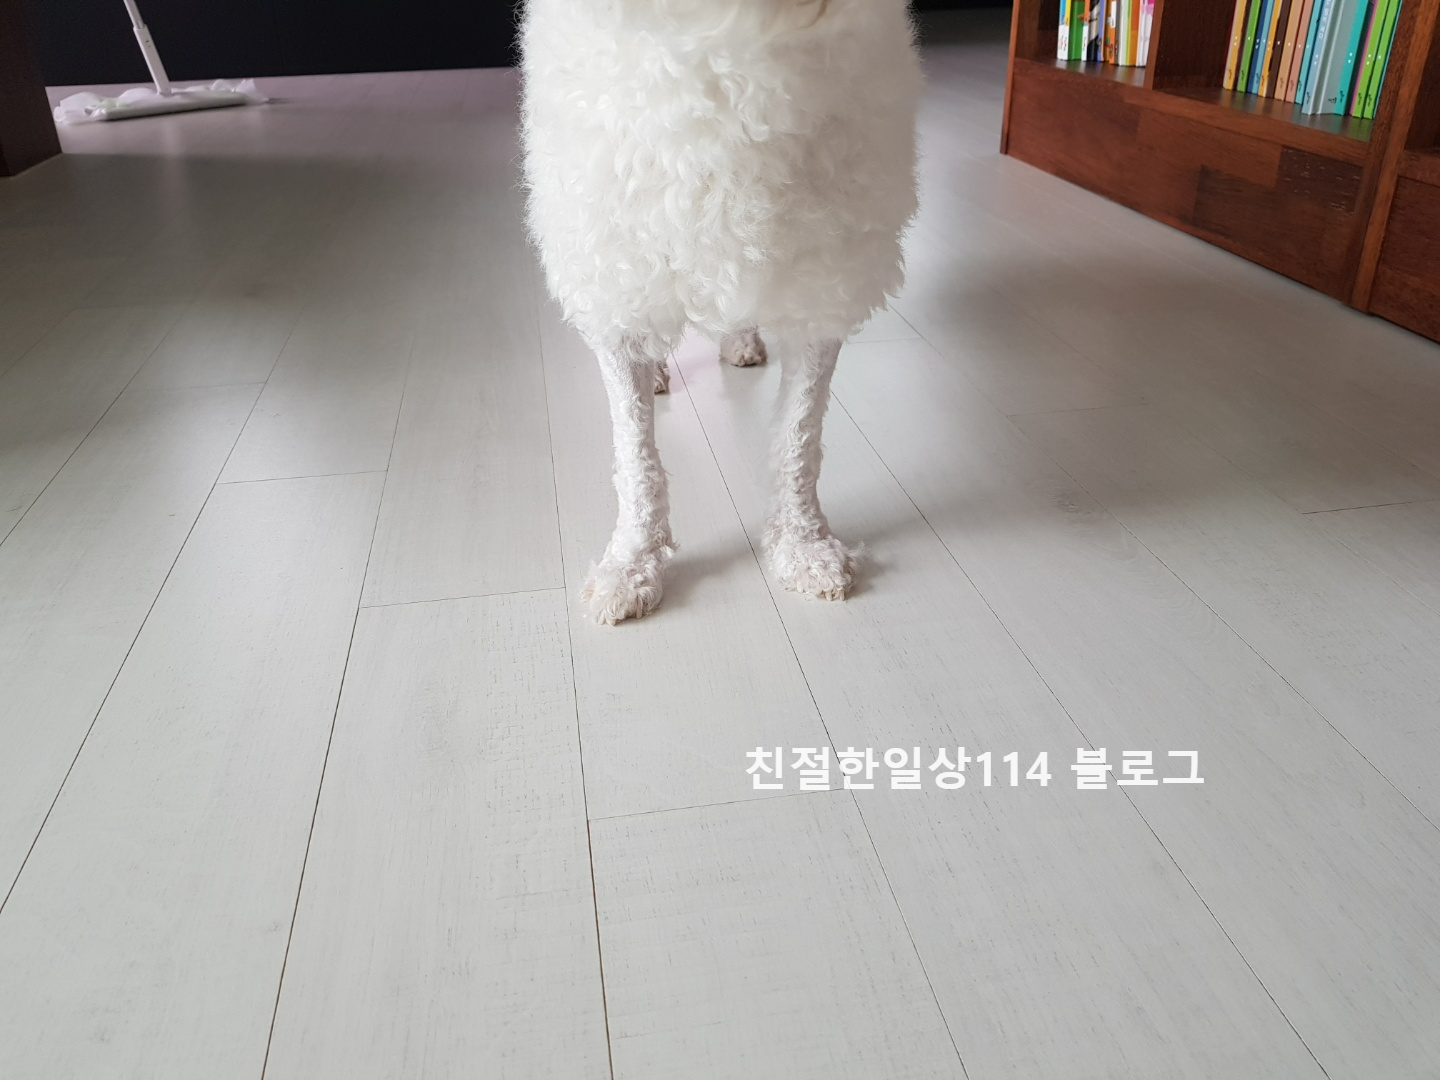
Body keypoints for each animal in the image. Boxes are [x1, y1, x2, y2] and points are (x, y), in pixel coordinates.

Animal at [520, 0, 921, 623]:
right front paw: (631, 563)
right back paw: (662, 371)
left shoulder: (822, 279)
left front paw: (803, 544)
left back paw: (740, 340)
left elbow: (798, 439)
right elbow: (635, 456)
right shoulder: (614, 270)